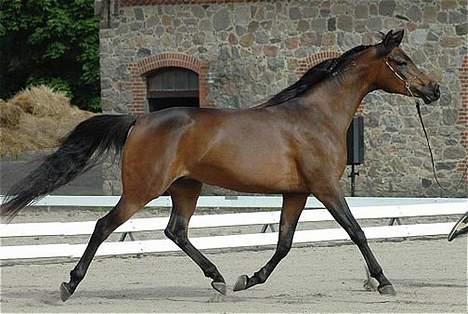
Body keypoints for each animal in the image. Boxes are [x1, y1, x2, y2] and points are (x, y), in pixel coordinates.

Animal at [0, 30, 438, 302]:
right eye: (401, 60)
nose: (433, 90)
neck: (315, 117)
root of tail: (138, 120)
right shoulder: (326, 188)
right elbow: (357, 232)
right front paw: (384, 282)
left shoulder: (297, 193)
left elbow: (283, 244)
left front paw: (248, 280)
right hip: (142, 190)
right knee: (103, 226)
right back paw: (69, 286)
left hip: (186, 188)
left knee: (175, 231)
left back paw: (219, 279)